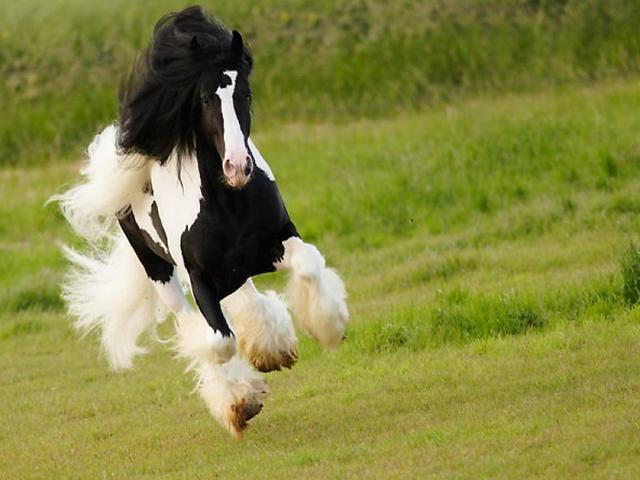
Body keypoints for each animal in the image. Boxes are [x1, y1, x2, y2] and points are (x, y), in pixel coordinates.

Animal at [53, 6, 348, 437]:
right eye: (207, 98)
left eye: (246, 93)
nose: (238, 167)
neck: (229, 205)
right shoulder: (200, 279)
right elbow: (218, 342)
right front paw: (241, 402)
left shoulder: (281, 238)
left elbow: (309, 265)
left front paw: (327, 328)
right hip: (159, 271)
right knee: (190, 323)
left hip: (235, 268)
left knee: (244, 295)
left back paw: (270, 347)